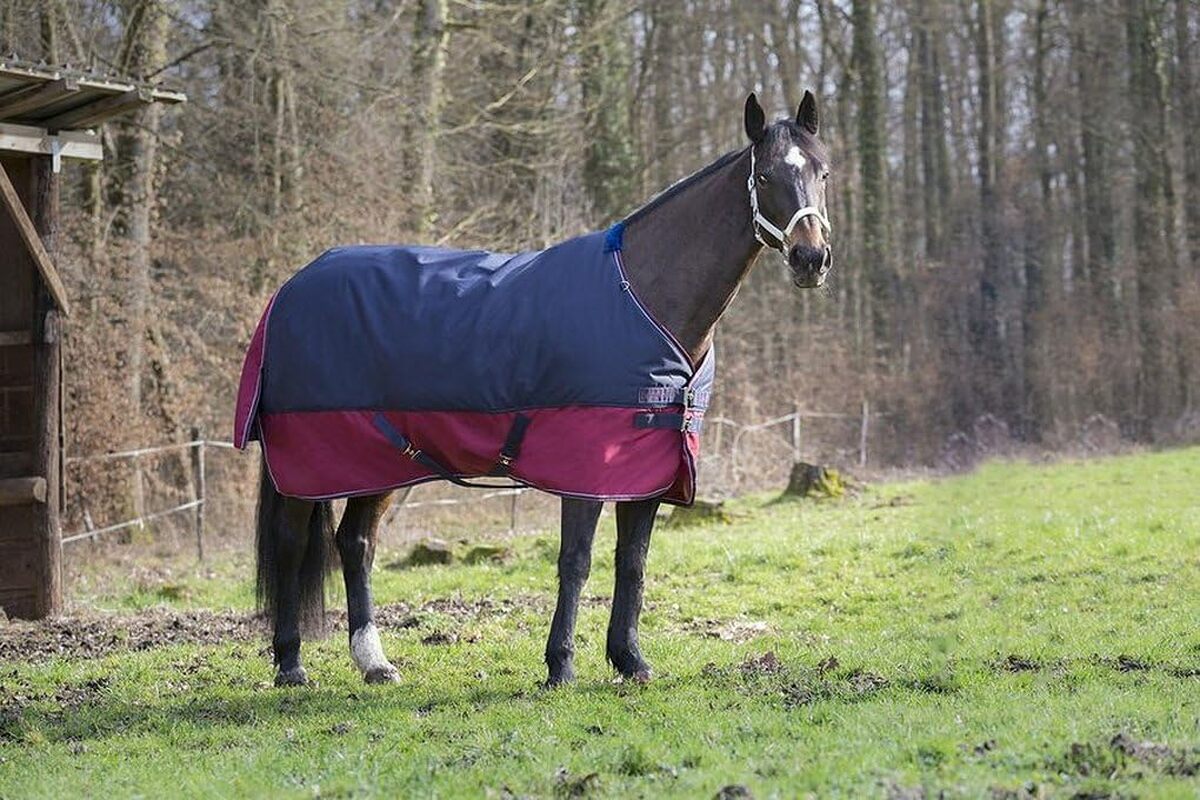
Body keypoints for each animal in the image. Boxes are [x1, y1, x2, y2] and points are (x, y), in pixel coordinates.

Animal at [243, 91, 833, 688]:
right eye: (766, 175)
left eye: (823, 172)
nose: (811, 258)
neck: (644, 295)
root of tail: (289, 290)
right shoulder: (586, 468)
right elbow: (576, 561)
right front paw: (560, 665)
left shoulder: (648, 466)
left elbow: (632, 562)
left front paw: (630, 659)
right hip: (313, 464)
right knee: (293, 544)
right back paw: (291, 664)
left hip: (382, 459)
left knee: (356, 543)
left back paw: (374, 662)